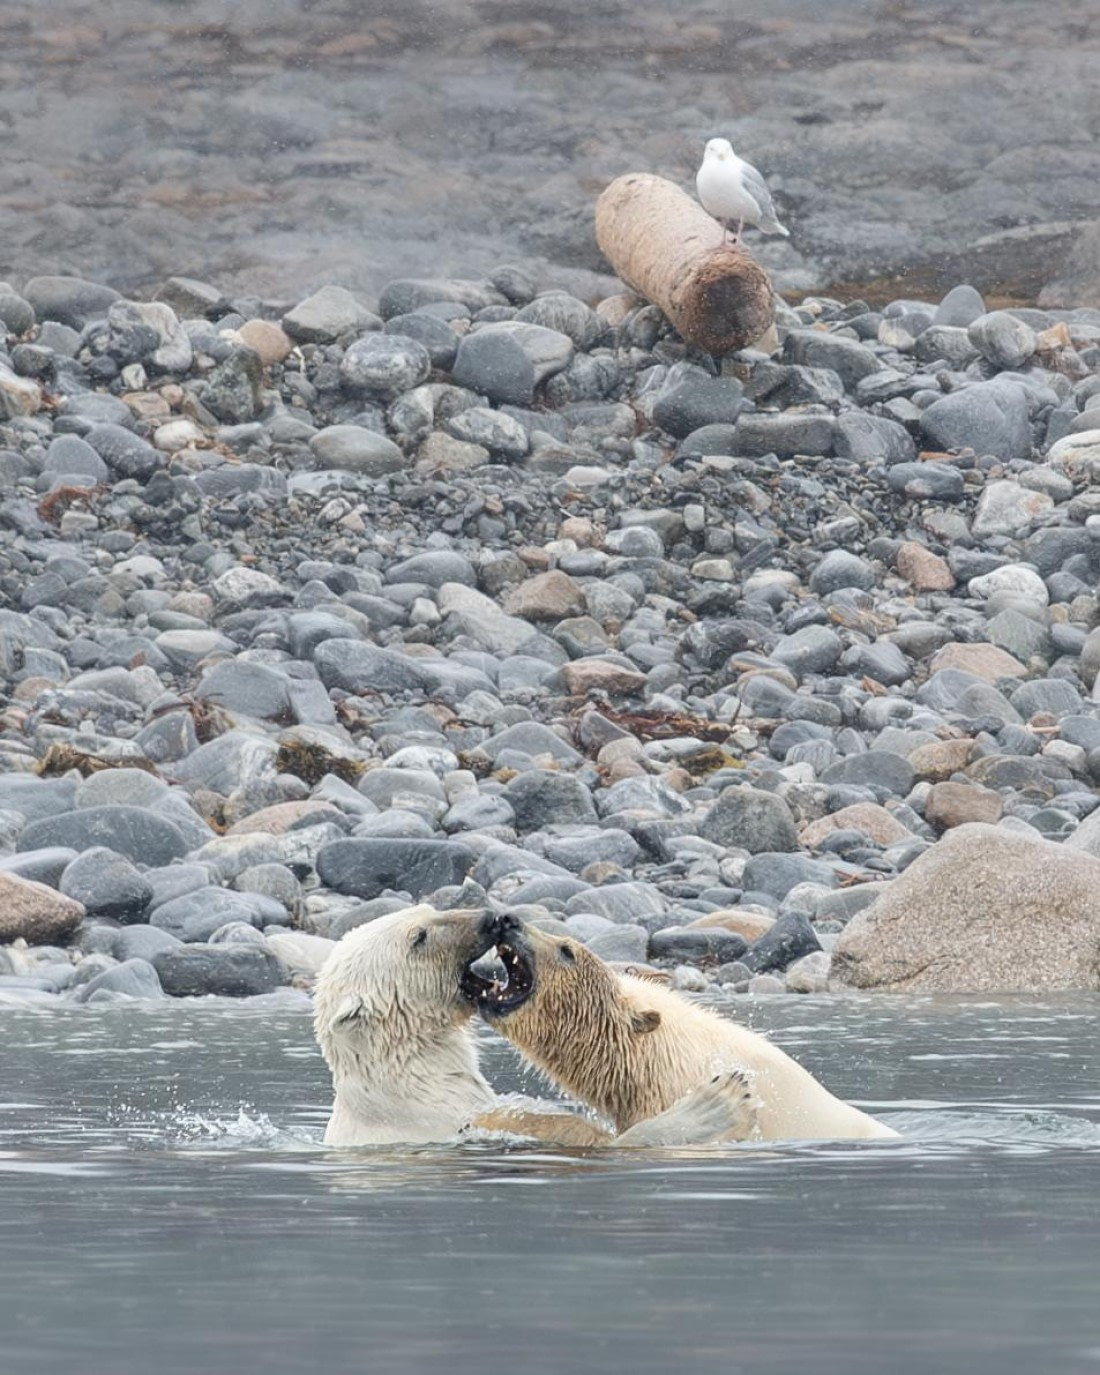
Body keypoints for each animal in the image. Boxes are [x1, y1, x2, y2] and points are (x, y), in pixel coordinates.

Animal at [313, 903, 758, 1148]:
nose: (491, 918)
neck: (413, 1084)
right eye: (419, 936)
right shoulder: (444, 1124)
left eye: (427, 908)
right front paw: (718, 1100)